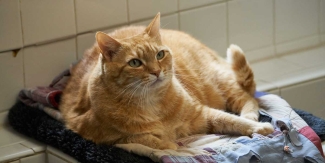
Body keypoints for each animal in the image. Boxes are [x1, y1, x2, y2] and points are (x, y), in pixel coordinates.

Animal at [58, 13, 274, 150]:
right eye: (135, 63)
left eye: (159, 54)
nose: (156, 71)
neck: (150, 102)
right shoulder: (99, 136)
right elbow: (142, 138)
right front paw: (167, 144)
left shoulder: (201, 113)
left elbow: (230, 119)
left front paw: (259, 128)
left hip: (219, 81)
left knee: (248, 98)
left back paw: (250, 115)